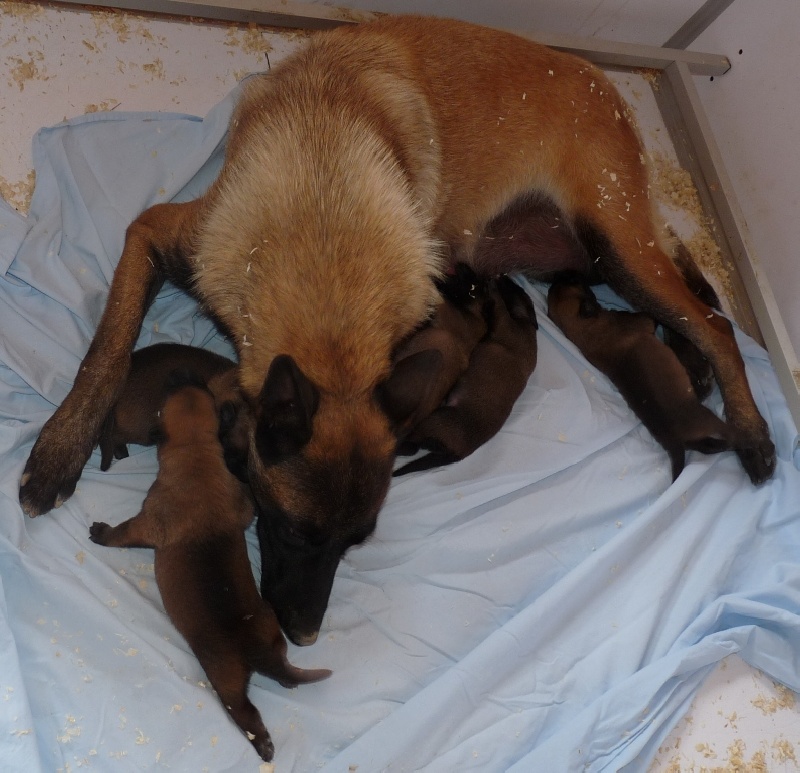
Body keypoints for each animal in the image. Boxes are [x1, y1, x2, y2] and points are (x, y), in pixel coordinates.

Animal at [91, 376, 332, 760]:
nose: (186, 378)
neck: (195, 452)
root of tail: (259, 653)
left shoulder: (149, 521)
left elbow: (123, 532)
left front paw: (101, 533)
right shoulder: (241, 504)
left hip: (225, 677)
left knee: (244, 709)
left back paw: (262, 742)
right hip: (272, 632)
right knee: (284, 672)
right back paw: (285, 680)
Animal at [396, 274, 540, 474]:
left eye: (513, 287)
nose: (503, 276)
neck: (526, 323)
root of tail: (459, 455)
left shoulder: (504, 321)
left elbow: (498, 305)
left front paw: (490, 289)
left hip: (432, 421)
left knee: (409, 445)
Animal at [552, 278, 744, 482]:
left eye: (559, 287)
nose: (557, 279)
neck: (584, 331)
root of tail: (674, 443)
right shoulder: (643, 320)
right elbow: (653, 315)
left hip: (696, 441)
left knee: (711, 448)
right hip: (705, 419)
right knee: (726, 433)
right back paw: (740, 438)